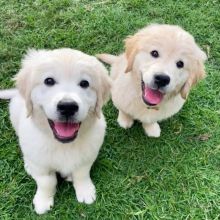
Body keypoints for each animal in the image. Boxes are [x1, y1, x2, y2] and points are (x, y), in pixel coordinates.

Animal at [0, 48, 110, 215]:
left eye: (84, 83)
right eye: (49, 81)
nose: (68, 106)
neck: (63, 145)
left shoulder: (87, 156)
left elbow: (81, 174)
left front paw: (85, 191)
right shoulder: (41, 165)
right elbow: (47, 182)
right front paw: (43, 201)